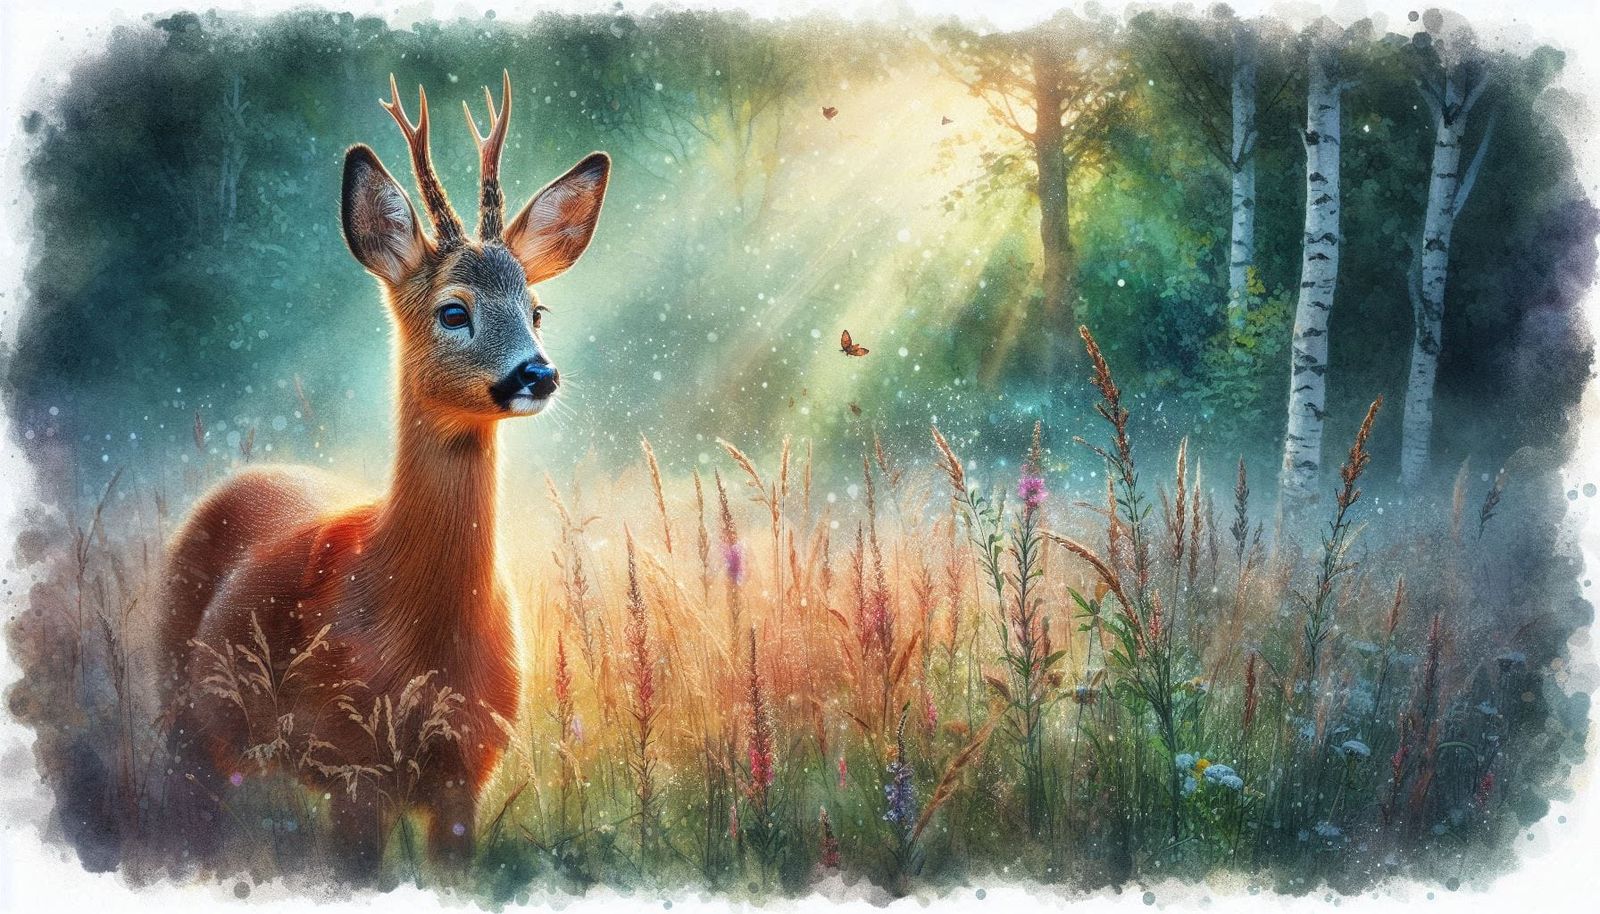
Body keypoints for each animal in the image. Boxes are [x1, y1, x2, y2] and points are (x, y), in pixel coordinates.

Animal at [157, 71, 609, 876]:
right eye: (453, 311)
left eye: (536, 309)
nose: (538, 374)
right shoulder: (351, 766)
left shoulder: (467, 771)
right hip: (179, 711)